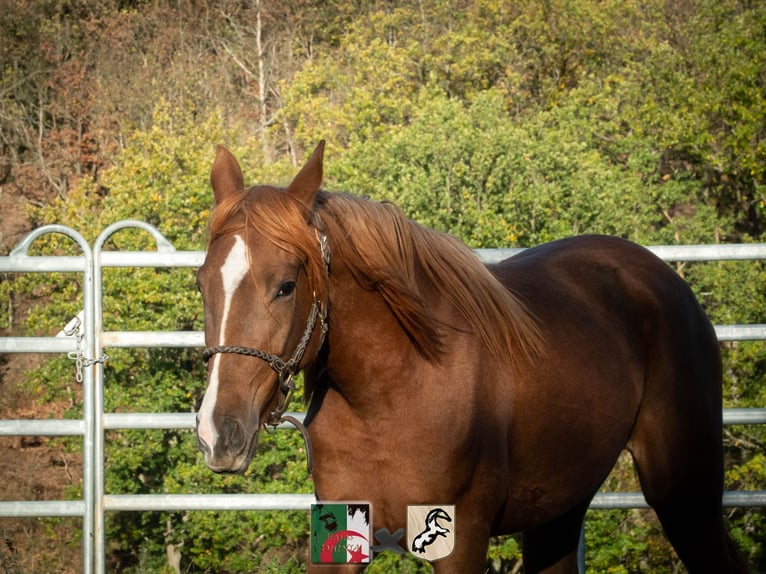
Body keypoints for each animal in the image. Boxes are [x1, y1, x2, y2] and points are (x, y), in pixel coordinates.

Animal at [194, 141, 752, 574]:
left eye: (286, 285)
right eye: (202, 282)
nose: (219, 433)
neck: (392, 392)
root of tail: (663, 278)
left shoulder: (460, 544)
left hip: (684, 494)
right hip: (559, 510)